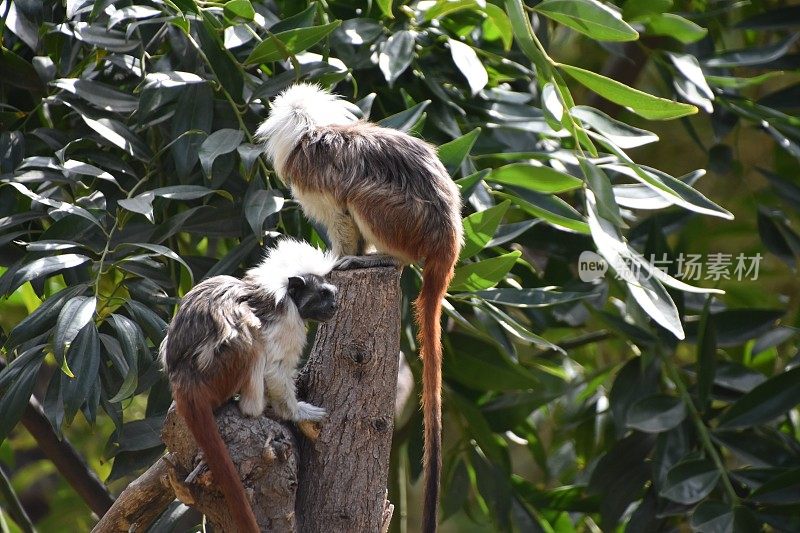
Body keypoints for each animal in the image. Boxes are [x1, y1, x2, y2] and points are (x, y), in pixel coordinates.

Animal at [159, 240, 338, 532]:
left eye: (330, 295)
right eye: (323, 295)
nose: (335, 305)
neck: (284, 295)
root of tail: (184, 381)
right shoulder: (287, 321)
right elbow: (275, 367)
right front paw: (296, 413)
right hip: (221, 368)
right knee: (249, 335)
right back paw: (254, 408)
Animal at [258, 84, 462, 532]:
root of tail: (447, 237)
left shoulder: (314, 176)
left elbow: (340, 213)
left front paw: (339, 257)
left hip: (407, 222)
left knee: (362, 195)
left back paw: (387, 259)